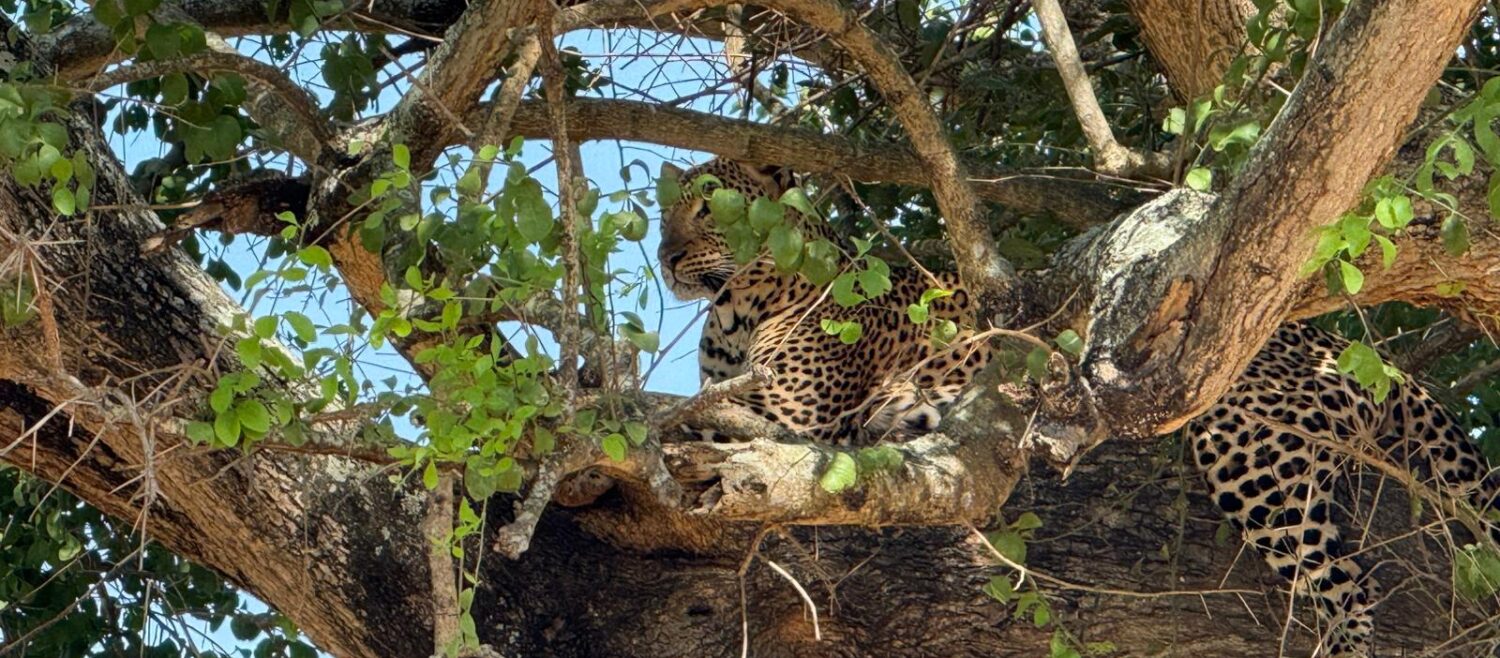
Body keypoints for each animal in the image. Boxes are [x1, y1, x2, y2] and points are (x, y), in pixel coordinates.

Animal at [658, 157, 1500, 657]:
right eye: (668, 211)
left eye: (712, 212)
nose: (666, 254)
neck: (734, 311)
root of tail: (1340, 342)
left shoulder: (804, 414)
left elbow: (688, 414)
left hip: (1245, 441)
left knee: (1347, 582)